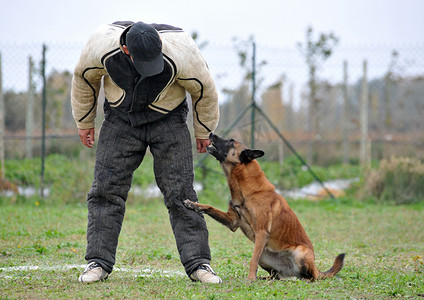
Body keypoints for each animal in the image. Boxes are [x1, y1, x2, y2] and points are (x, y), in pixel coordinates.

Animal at [185, 134, 344, 282]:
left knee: (311, 277)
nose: (210, 134)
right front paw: (194, 205)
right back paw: (265, 278)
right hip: (265, 256)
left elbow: (252, 260)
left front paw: (250, 278)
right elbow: (209, 207)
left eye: (231, 141)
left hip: (299, 254)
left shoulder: (261, 232)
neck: (247, 189)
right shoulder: (233, 222)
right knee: (276, 275)